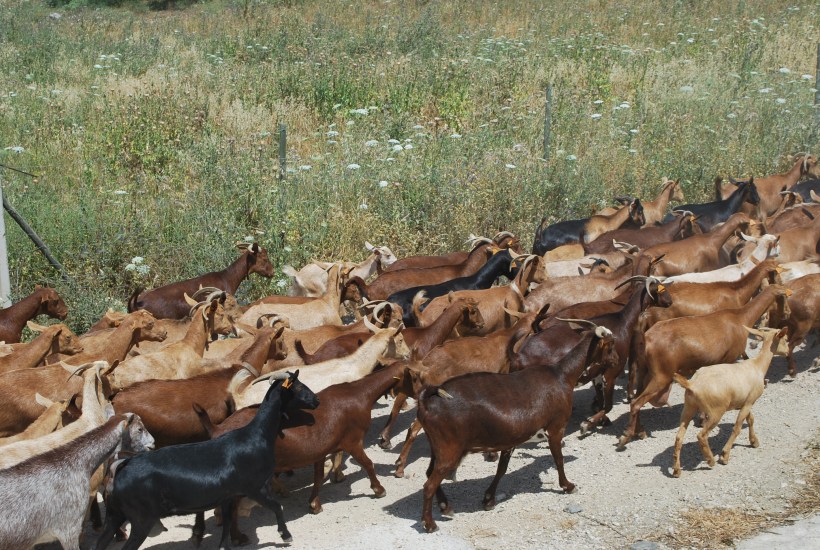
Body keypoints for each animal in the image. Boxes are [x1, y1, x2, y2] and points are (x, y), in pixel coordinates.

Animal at [93, 371, 319, 549]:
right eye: (299, 386)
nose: (316, 401)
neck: (256, 435)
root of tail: (120, 468)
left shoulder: (229, 495)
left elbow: (227, 524)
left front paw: (225, 545)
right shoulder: (255, 488)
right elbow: (277, 507)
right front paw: (286, 535)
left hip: (114, 515)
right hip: (141, 519)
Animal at [417, 323, 616, 532]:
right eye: (610, 345)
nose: (616, 360)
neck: (562, 375)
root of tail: (426, 401)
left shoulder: (512, 438)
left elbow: (502, 469)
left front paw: (488, 499)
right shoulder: (555, 428)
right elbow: (559, 460)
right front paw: (568, 486)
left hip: (437, 447)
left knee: (429, 473)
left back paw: (445, 506)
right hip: (449, 449)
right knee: (429, 484)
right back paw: (430, 523)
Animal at [671, 326, 788, 477]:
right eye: (785, 339)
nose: (788, 351)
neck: (757, 366)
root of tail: (692, 384)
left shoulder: (744, 401)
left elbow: (750, 419)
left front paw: (754, 441)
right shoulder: (750, 401)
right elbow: (737, 427)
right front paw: (725, 455)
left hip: (688, 407)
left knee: (679, 437)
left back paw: (676, 470)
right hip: (715, 411)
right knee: (701, 435)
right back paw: (710, 461)